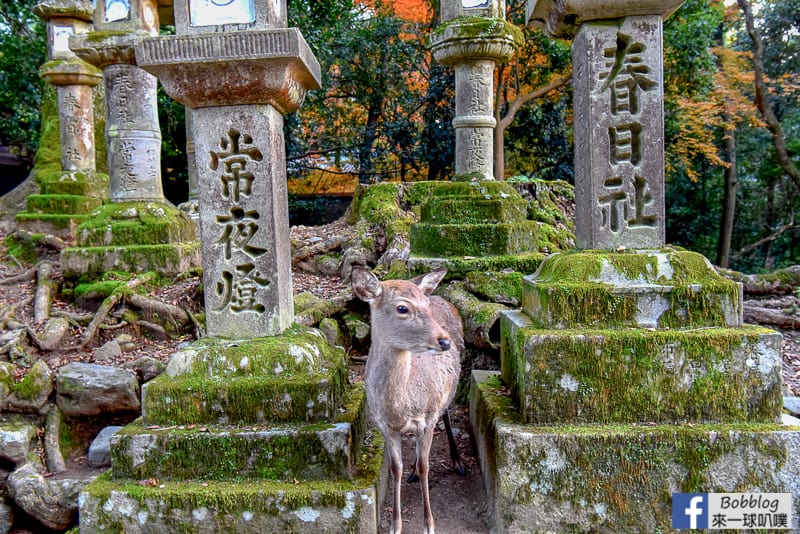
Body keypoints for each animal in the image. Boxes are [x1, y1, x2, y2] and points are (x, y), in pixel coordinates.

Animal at [354, 268, 466, 534]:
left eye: (424, 304)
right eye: (402, 308)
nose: (444, 341)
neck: (401, 406)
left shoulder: (428, 416)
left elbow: (426, 465)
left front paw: (429, 525)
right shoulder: (385, 425)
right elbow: (396, 468)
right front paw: (395, 526)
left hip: (447, 390)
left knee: (447, 413)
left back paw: (457, 461)